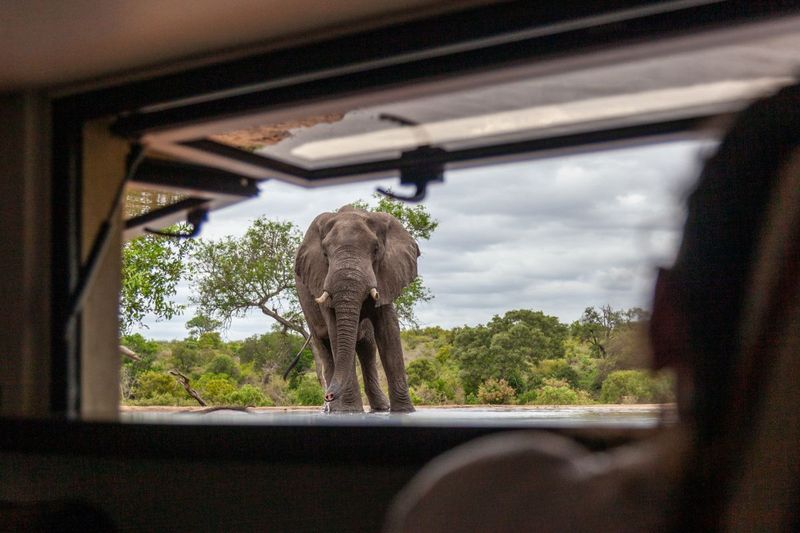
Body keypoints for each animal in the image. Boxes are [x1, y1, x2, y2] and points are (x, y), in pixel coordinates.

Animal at [294, 205, 419, 413]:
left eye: (376, 250)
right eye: (325, 254)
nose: (328, 395)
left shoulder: (386, 275)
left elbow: (389, 330)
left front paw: (405, 411)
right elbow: (336, 333)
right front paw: (349, 411)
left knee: (367, 345)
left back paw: (380, 408)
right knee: (324, 348)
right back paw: (335, 409)